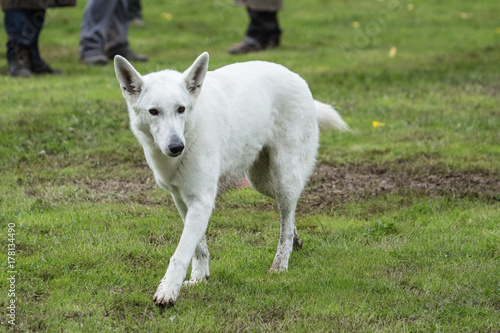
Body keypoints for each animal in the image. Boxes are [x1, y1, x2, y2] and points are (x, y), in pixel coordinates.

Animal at [114, 52, 350, 306]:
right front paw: (199, 278)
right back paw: (296, 242)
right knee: (289, 214)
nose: (176, 147)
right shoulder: (183, 199)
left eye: (181, 109)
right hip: (262, 182)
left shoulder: (202, 200)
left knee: (285, 223)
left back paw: (280, 265)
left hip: (284, 178)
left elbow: (181, 252)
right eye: (153, 112)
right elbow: (198, 247)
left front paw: (167, 291)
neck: (191, 130)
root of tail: (297, 78)